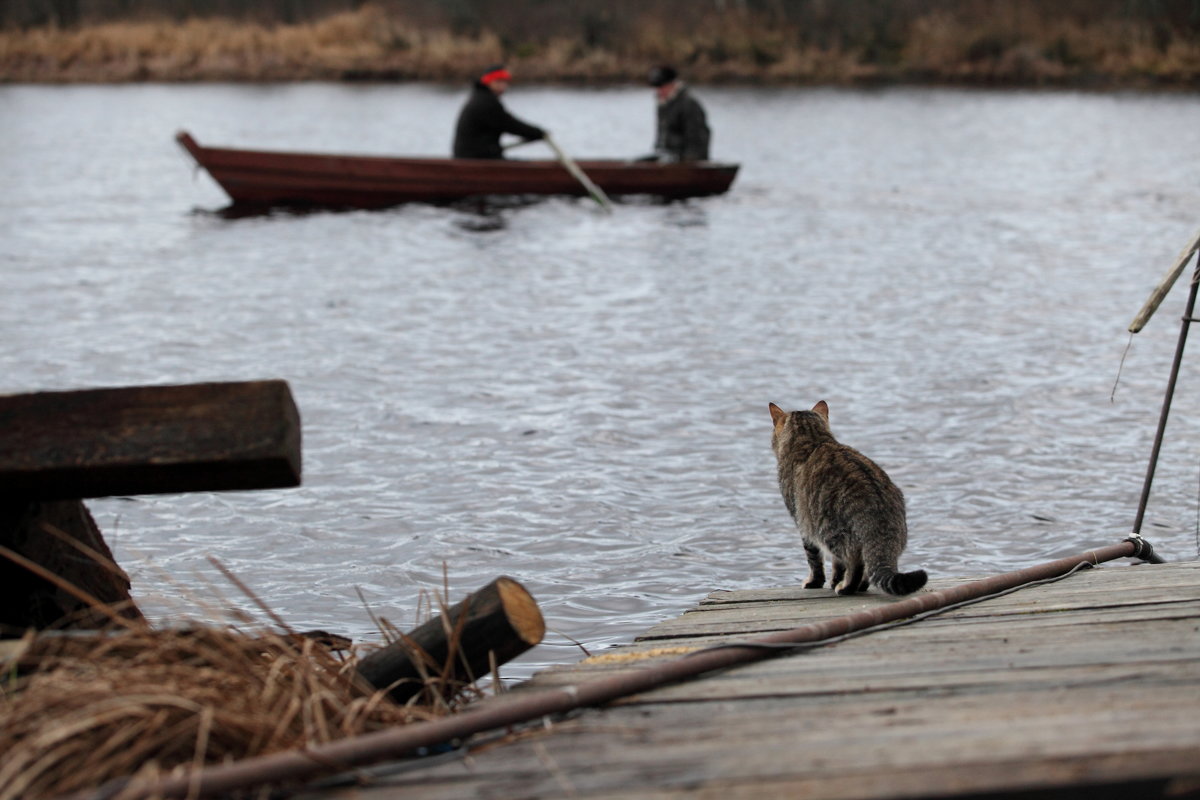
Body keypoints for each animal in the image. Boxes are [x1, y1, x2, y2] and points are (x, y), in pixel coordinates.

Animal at [768, 400, 926, 594]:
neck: (814, 440)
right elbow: (837, 565)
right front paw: (835, 580)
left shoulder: (803, 524)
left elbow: (815, 560)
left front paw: (816, 582)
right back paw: (859, 586)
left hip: (830, 531)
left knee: (855, 563)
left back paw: (847, 587)